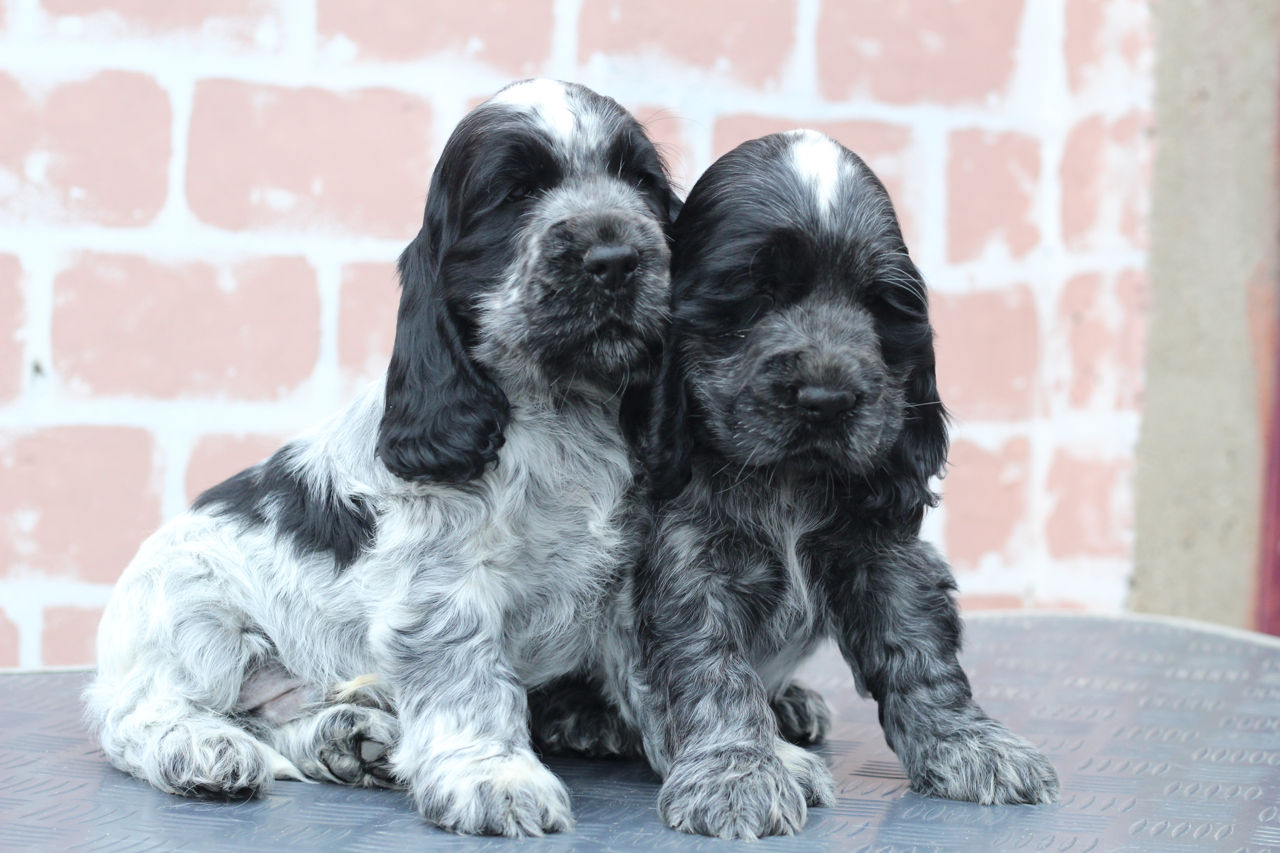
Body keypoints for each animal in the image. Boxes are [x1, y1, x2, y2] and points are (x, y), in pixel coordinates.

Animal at [86, 76, 686, 835]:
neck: (562, 410)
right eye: (514, 195)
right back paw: (203, 748)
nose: (614, 259)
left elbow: (672, 675)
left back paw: (350, 740)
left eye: (640, 182)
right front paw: (495, 778)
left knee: (280, 714)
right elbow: (470, 681)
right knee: (139, 715)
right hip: (195, 619)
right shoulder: (443, 588)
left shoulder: (632, 581)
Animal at [609, 129, 1059, 835]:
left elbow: (922, 654)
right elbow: (713, 669)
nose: (826, 399)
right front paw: (737, 774)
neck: (789, 482)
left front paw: (971, 746)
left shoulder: (886, 553)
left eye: (878, 305)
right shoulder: (687, 563)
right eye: (755, 296)